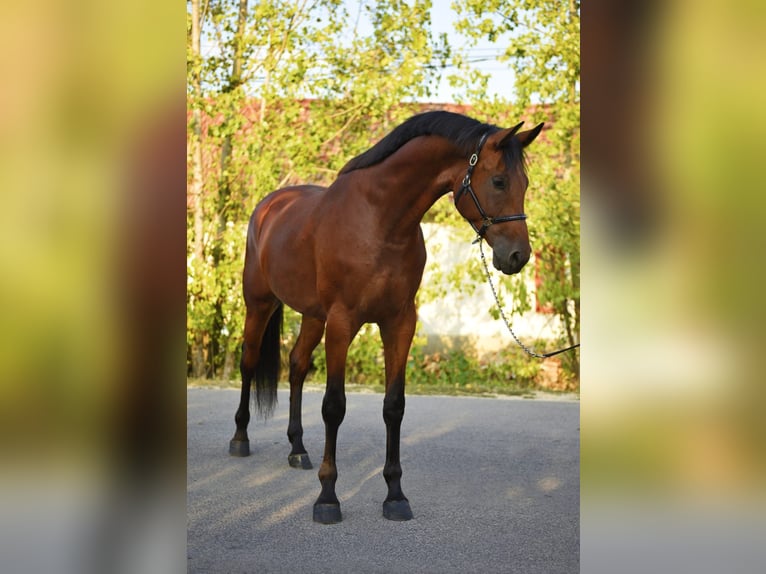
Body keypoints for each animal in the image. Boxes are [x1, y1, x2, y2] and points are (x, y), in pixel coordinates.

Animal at [229, 111, 544, 524]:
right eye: (499, 181)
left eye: (524, 183)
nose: (517, 256)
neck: (380, 222)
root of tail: (269, 206)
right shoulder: (342, 323)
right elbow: (334, 406)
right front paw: (327, 497)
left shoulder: (399, 323)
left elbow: (394, 406)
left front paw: (395, 495)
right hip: (259, 303)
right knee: (249, 362)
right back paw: (240, 439)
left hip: (313, 316)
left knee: (296, 365)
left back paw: (298, 449)